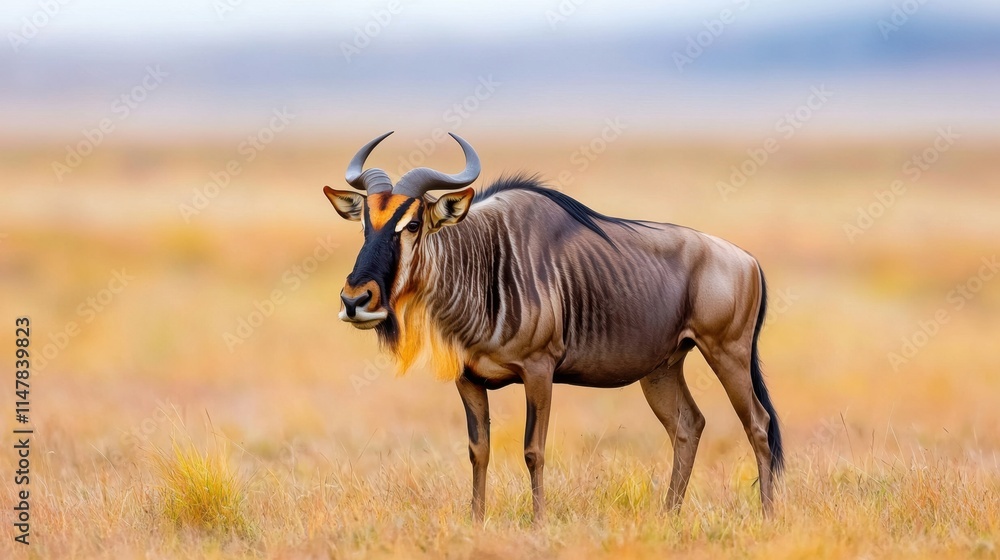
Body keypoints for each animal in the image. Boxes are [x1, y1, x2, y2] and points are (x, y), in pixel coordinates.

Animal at [323, 132, 783, 522]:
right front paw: (476, 520)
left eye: (413, 225)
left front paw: (539, 521)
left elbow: (533, 450)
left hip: (727, 353)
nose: (355, 300)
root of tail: (748, 260)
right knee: (688, 426)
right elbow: (478, 450)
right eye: (364, 223)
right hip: (662, 369)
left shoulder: (539, 371)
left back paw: (767, 517)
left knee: (758, 425)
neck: (483, 264)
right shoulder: (468, 378)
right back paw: (668, 516)